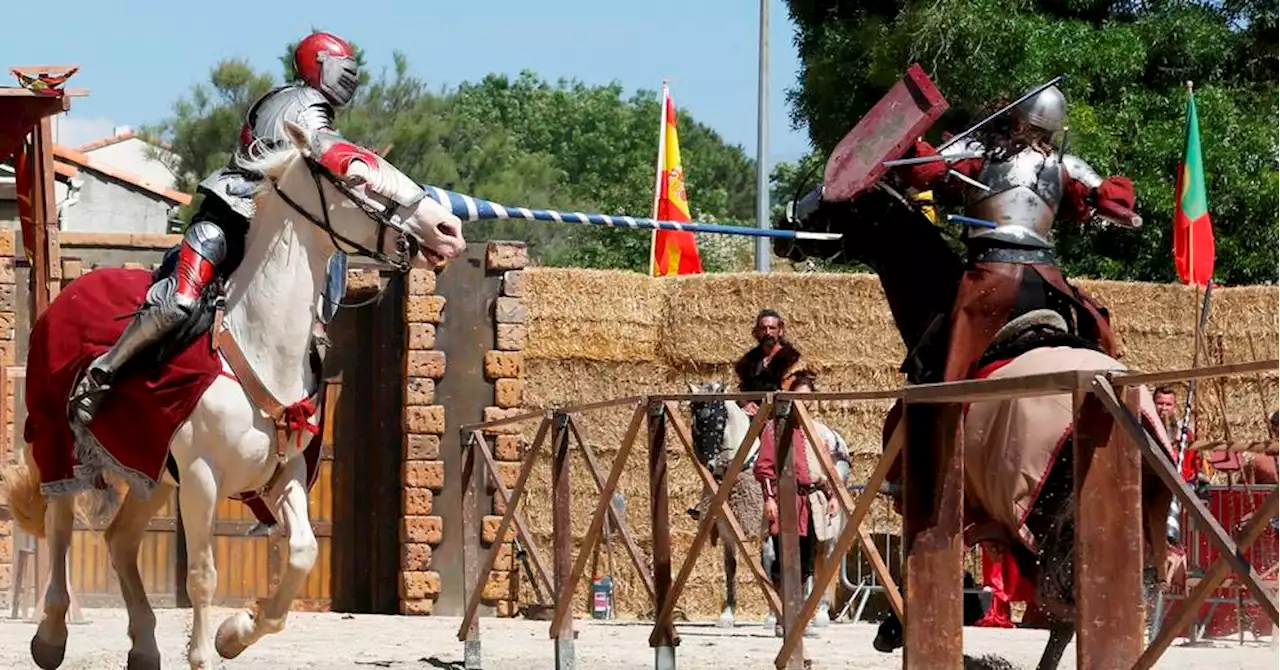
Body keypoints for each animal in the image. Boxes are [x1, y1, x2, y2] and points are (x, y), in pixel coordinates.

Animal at [1, 121, 465, 670]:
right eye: (355, 173)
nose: (448, 229)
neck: (258, 344)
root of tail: (69, 294)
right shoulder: (202, 479)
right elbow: (203, 575)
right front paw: (205, 652)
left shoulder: (284, 473)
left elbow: (303, 552)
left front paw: (235, 633)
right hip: (60, 441)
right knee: (59, 525)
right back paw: (51, 634)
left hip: (151, 473)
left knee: (120, 541)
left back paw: (145, 646)